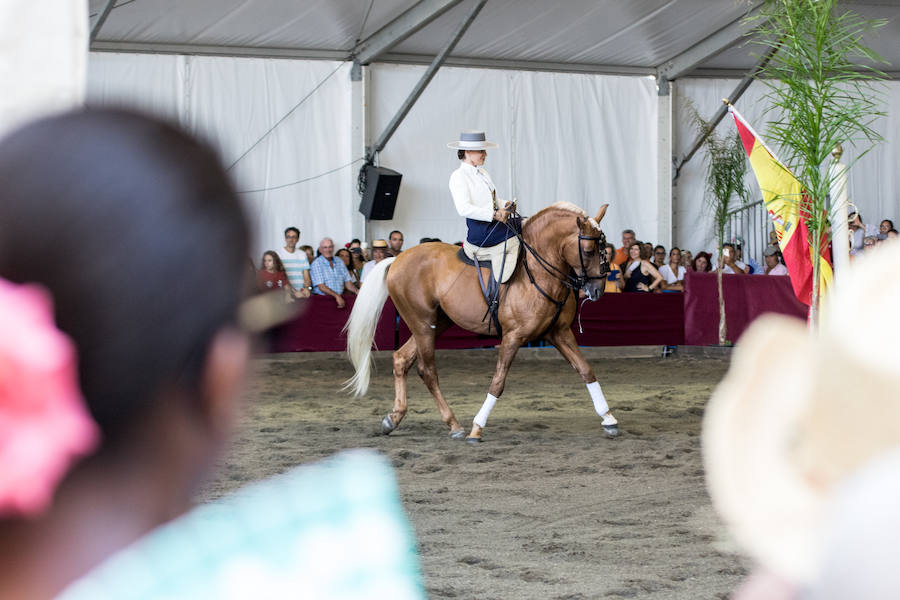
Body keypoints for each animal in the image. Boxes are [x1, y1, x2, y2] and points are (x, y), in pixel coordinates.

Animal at [344, 202, 620, 440]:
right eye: (588, 251)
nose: (597, 290)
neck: (537, 270)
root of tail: (396, 259)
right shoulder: (513, 336)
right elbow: (498, 383)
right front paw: (477, 428)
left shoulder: (559, 333)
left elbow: (586, 371)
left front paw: (609, 419)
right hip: (422, 323)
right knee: (427, 371)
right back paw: (454, 425)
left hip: (436, 323)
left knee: (402, 359)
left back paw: (393, 418)